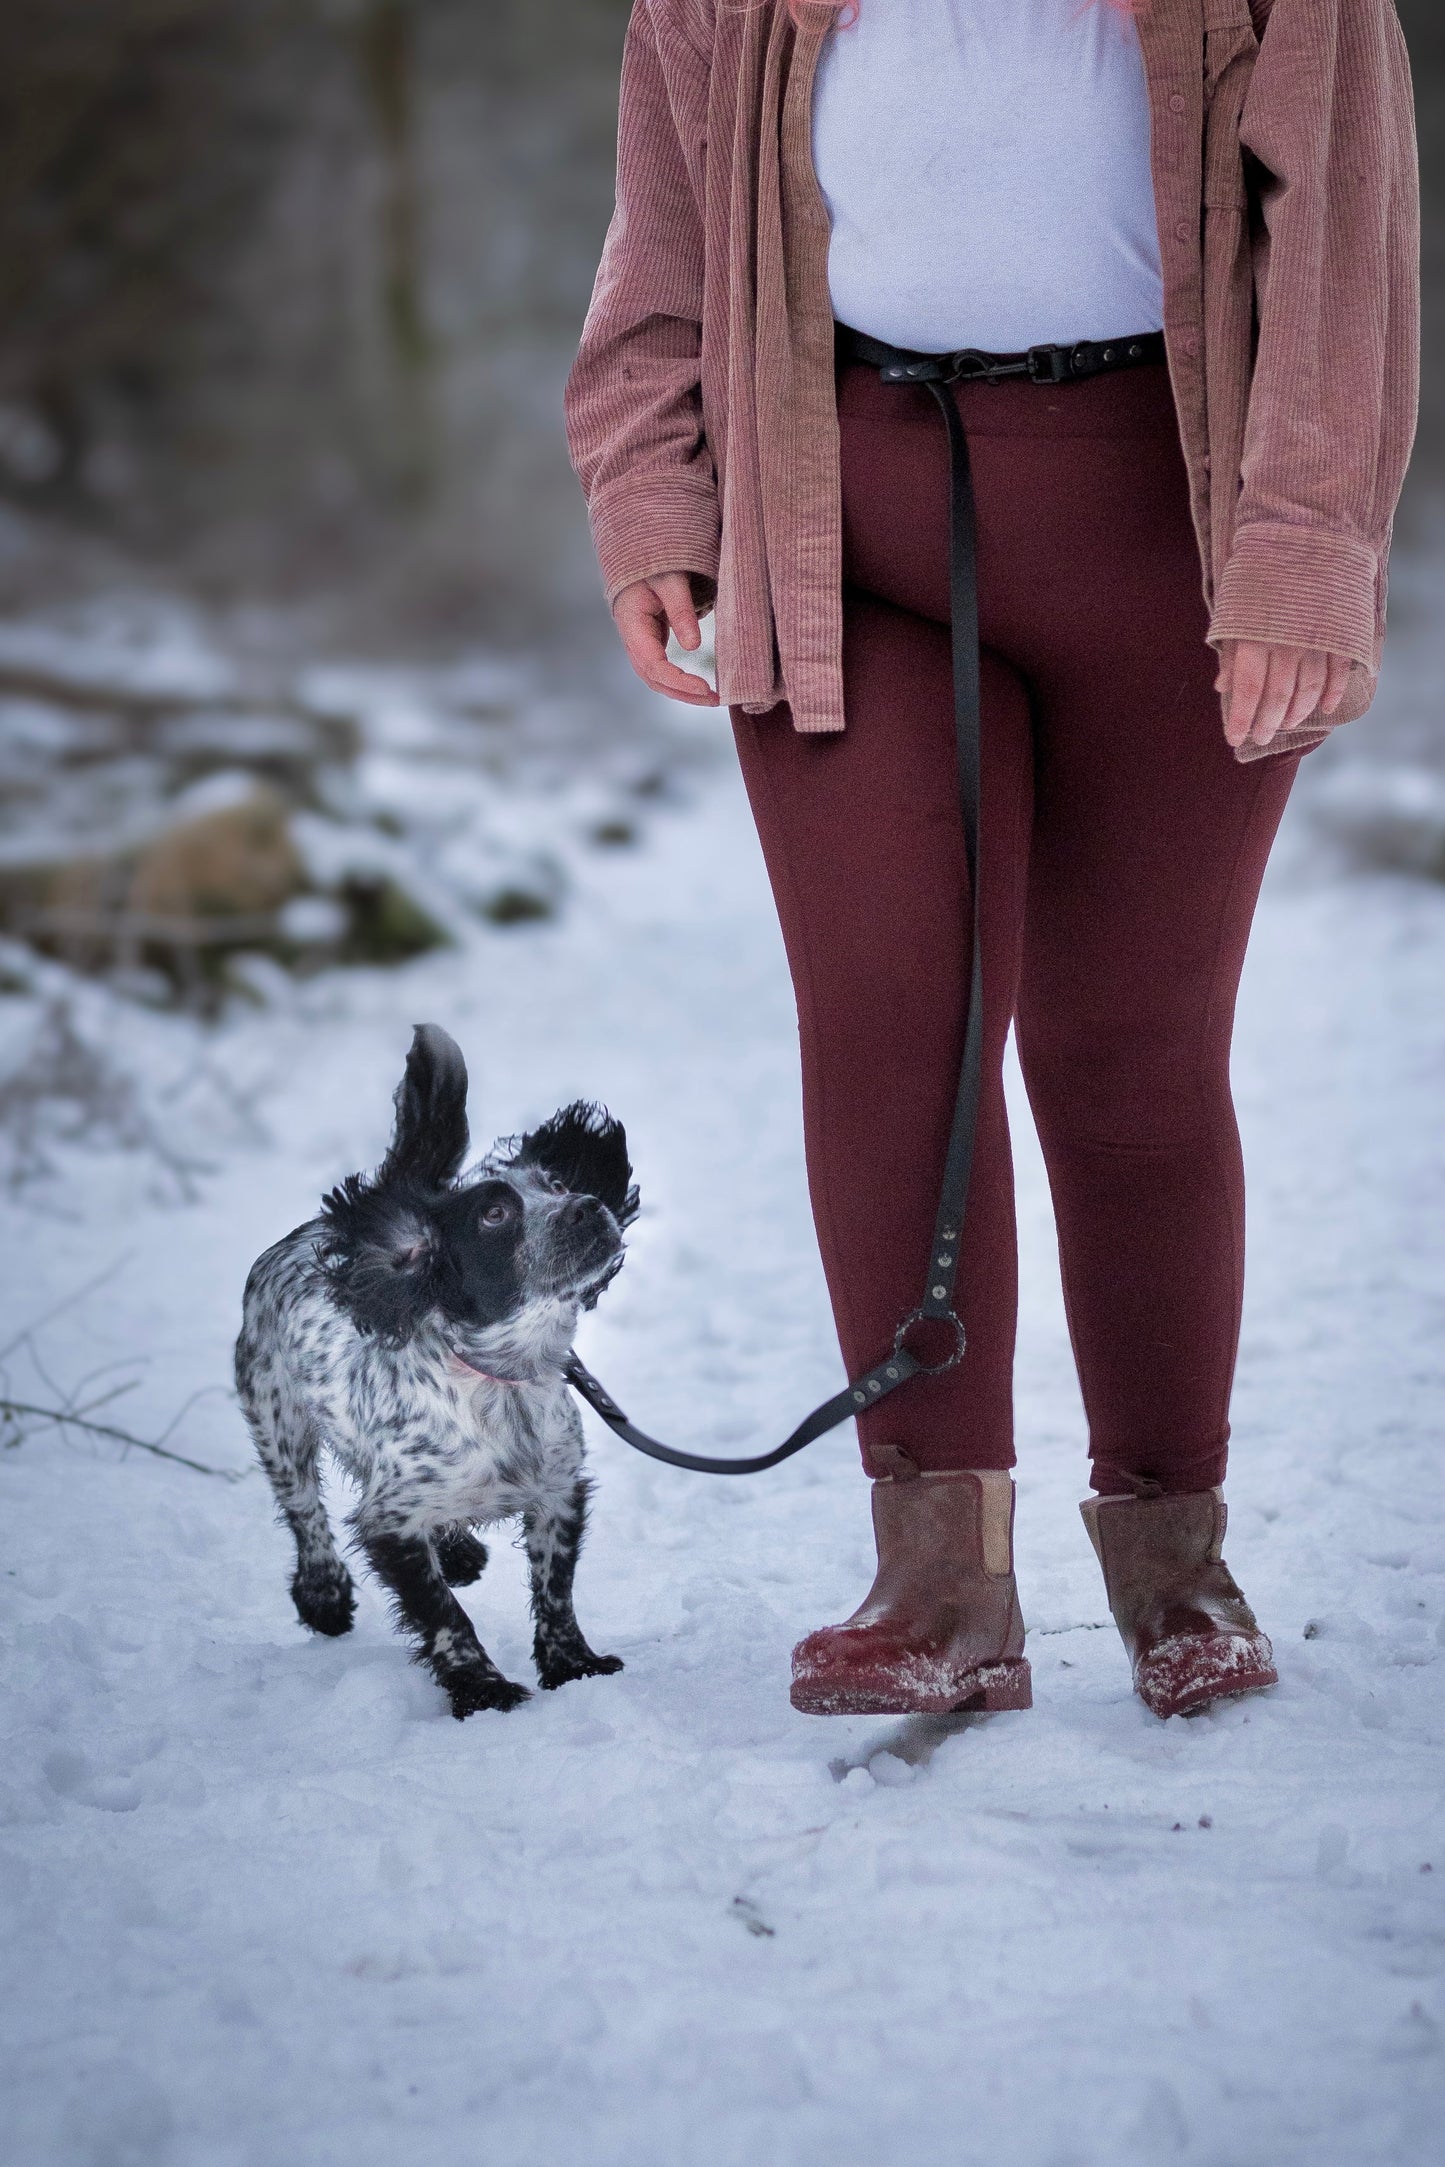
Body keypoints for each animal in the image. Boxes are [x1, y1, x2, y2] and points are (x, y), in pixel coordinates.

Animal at [235, 1022, 636, 1716]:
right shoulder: (391, 1524)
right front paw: (482, 1687)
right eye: (494, 1214)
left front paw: (573, 1665)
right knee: (303, 1508)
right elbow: (445, 1615)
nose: (587, 1205)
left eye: (556, 1186)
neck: (500, 1379)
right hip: (276, 1416)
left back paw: (458, 1551)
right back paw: (324, 1596)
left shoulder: (557, 1488)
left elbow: (555, 1590)